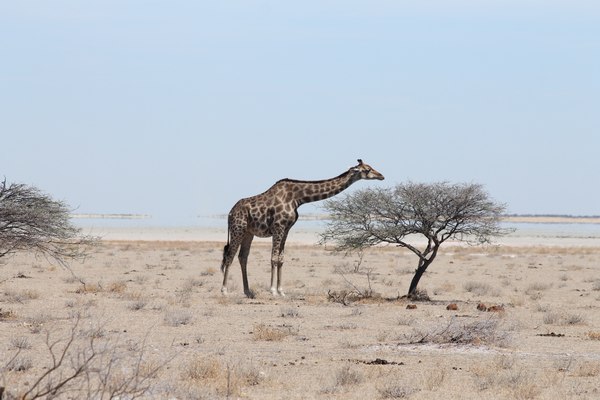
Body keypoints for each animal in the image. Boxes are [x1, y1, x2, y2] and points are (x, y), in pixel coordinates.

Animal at [220, 159, 384, 296]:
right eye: (367, 169)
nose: (381, 175)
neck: (298, 198)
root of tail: (230, 212)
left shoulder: (286, 229)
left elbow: (281, 259)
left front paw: (281, 291)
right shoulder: (278, 227)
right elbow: (273, 258)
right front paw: (273, 290)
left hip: (249, 233)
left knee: (242, 257)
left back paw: (247, 291)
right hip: (238, 229)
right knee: (229, 255)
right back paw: (225, 290)